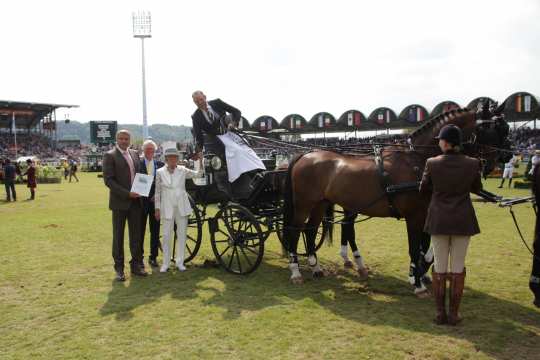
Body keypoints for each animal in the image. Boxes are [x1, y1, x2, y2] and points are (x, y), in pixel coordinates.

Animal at [282, 106, 510, 292]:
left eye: (507, 128)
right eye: (494, 128)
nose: (506, 157)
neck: (416, 159)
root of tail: (305, 155)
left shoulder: (426, 212)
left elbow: (425, 245)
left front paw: (422, 272)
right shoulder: (414, 216)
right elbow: (414, 246)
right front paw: (417, 281)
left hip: (320, 204)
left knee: (311, 230)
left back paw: (317, 267)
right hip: (304, 204)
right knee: (295, 232)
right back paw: (296, 271)